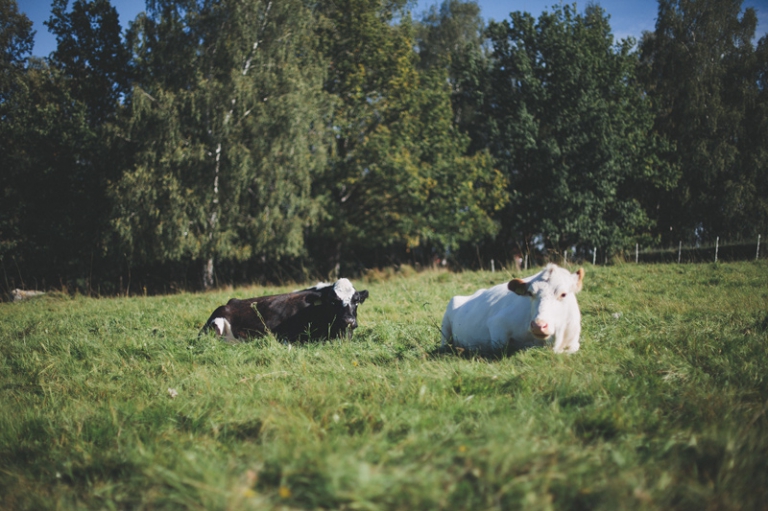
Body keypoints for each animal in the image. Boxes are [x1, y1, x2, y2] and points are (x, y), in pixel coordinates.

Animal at [440, 266, 584, 354]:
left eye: (563, 294)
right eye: (530, 293)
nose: (538, 325)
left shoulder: (573, 339)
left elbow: (573, 348)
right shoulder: (497, 323)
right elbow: (500, 347)